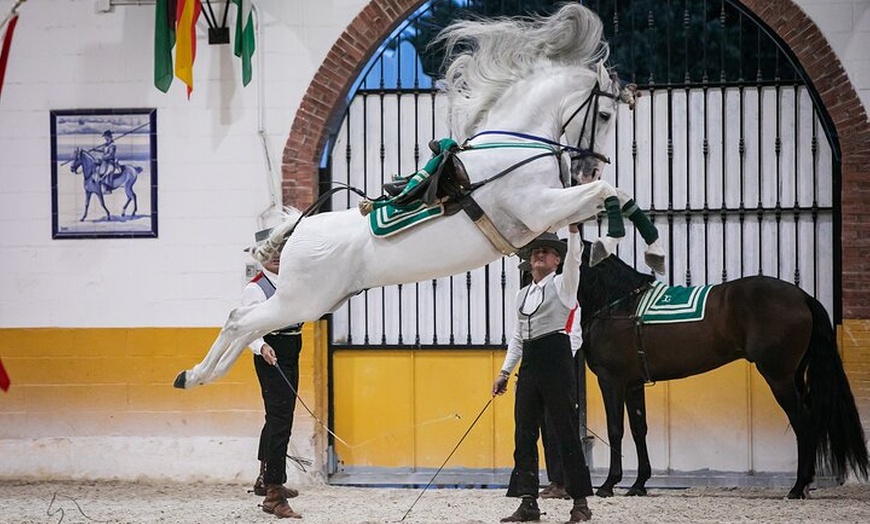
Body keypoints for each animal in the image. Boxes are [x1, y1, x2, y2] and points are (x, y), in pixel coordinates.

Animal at [175, 4, 668, 388]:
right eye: (604, 115)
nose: (589, 165)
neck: (514, 143)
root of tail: (298, 230)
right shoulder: (537, 207)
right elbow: (610, 191)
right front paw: (627, 243)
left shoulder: (546, 215)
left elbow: (613, 199)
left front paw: (633, 247)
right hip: (302, 301)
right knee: (239, 321)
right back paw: (197, 375)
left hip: (312, 302)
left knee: (244, 326)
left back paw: (200, 375)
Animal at [580, 245, 870, 500]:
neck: (618, 306)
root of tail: (802, 297)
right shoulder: (633, 384)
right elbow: (639, 429)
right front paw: (639, 484)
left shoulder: (611, 381)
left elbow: (615, 430)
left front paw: (607, 485)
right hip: (794, 376)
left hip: (779, 378)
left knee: (803, 421)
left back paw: (798, 487)